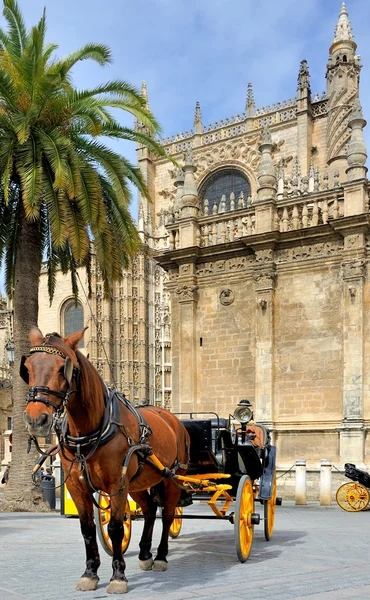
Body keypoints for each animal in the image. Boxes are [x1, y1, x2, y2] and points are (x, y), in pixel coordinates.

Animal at [21, 328, 189, 596]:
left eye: (62, 368)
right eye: (27, 367)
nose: (36, 419)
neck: (91, 430)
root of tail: (170, 416)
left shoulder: (117, 485)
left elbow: (116, 528)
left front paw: (118, 576)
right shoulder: (77, 487)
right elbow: (88, 529)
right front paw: (90, 573)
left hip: (170, 479)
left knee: (169, 515)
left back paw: (161, 556)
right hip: (138, 483)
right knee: (150, 510)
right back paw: (145, 554)